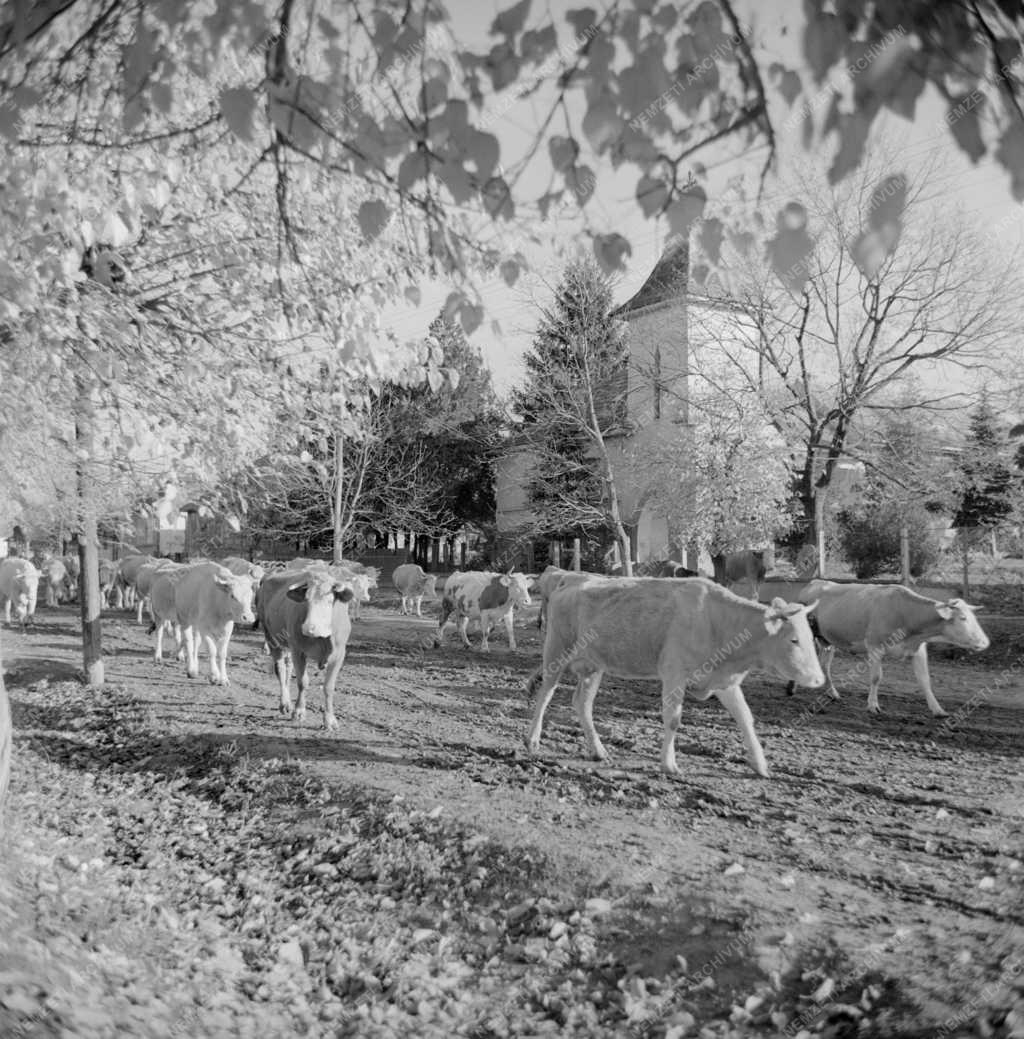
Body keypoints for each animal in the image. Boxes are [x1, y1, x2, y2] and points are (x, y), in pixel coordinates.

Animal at [257, 569, 357, 731]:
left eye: (329, 600)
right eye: (306, 600)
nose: (309, 628)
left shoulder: (339, 654)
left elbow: (329, 687)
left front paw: (329, 719)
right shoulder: (299, 651)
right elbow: (302, 682)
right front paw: (299, 712)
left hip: (288, 645)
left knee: (288, 667)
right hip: (272, 637)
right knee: (280, 669)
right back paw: (284, 703)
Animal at [527, 577, 822, 781]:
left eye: (810, 637)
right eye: (794, 640)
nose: (819, 680)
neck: (717, 621)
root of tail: (571, 581)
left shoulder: (724, 681)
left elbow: (745, 718)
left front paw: (760, 764)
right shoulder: (674, 674)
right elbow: (673, 719)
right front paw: (669, 764)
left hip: (592, 667)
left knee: (582, 704)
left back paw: (598, 750)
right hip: (556, 651)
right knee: (545, 694)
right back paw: (532, 740)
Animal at [780, 581, 988, 718]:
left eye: (974, 618)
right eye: (963, 618)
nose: (985, 642)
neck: (905, 613)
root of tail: (814, 582)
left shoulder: (918, 650)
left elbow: (924, 680)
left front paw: (937, 709)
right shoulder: (875, 646)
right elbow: (876, 677)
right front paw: (873, 705)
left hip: (827, 639)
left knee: (825, 664)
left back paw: (832, 693)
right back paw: (792, 687)